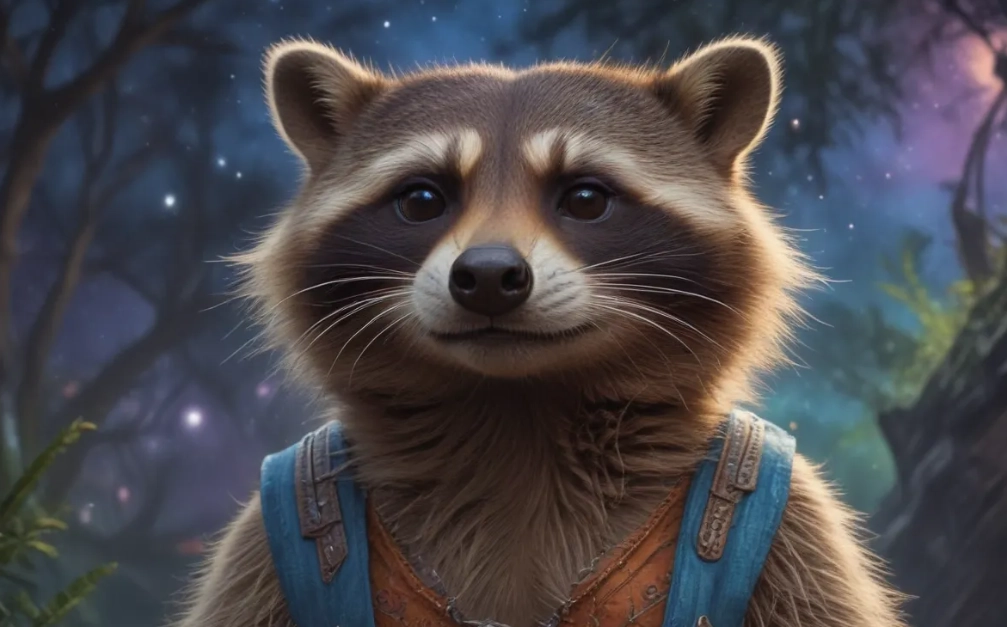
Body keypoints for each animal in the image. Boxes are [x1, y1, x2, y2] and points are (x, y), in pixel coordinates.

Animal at [172, 36, 905, 627]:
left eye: (584, 197)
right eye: (423, 199)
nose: (489, 276)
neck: (518, 410)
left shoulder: (796, 528)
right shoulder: (266, 535)